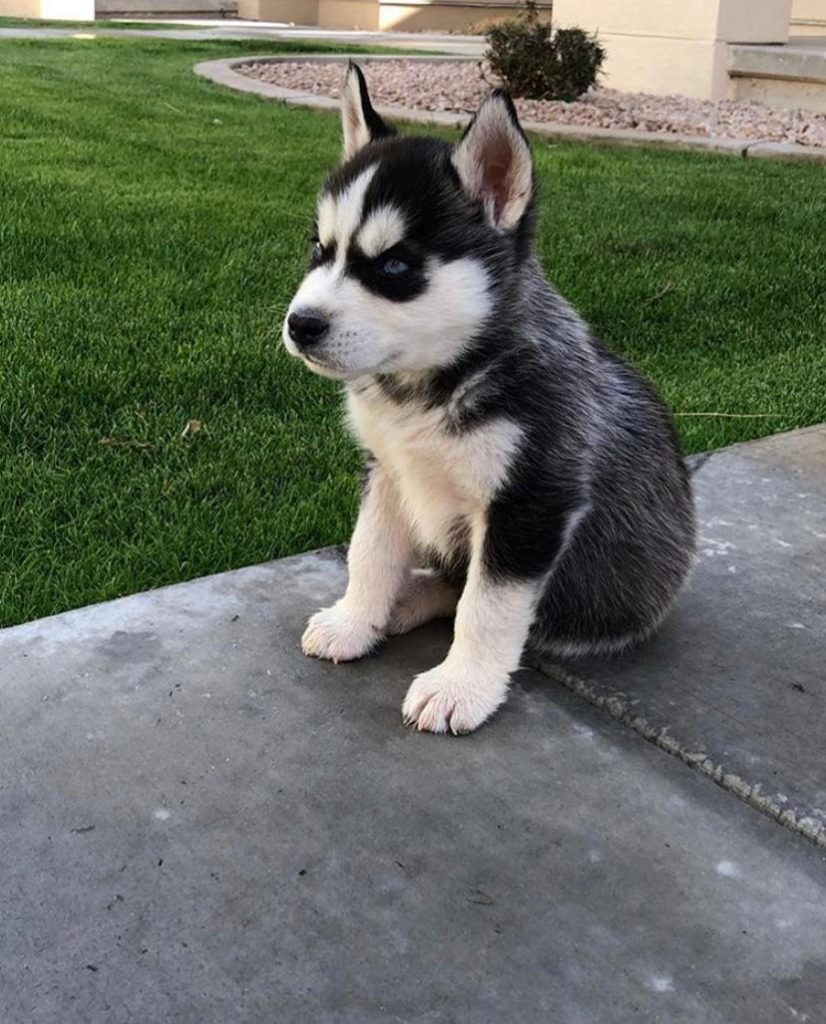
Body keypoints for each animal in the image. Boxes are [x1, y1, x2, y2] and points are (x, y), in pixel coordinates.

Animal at [284, 64, 696, 733]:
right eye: (321, 250)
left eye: (394, 267)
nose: (300, 324)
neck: (433, 385)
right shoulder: (388, 470)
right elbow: (369, 552)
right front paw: (355, 620)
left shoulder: (531, 500)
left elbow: (488, 606)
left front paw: (461, 687)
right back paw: (406, 598)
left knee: (468, 593)